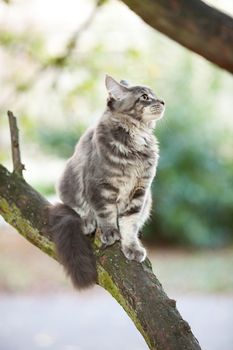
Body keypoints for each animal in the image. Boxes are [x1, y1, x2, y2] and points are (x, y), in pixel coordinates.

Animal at [48, 76, 166, 290]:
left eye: (154, 95)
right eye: (145, 97)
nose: (162, 101)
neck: (137, 137)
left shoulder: (140, 191)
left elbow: (130, 223)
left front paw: (131, 246)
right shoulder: (100, 185)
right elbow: (106, 212)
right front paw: (110, 231)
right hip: (69, 179)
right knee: (76, 206)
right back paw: (88, 221)